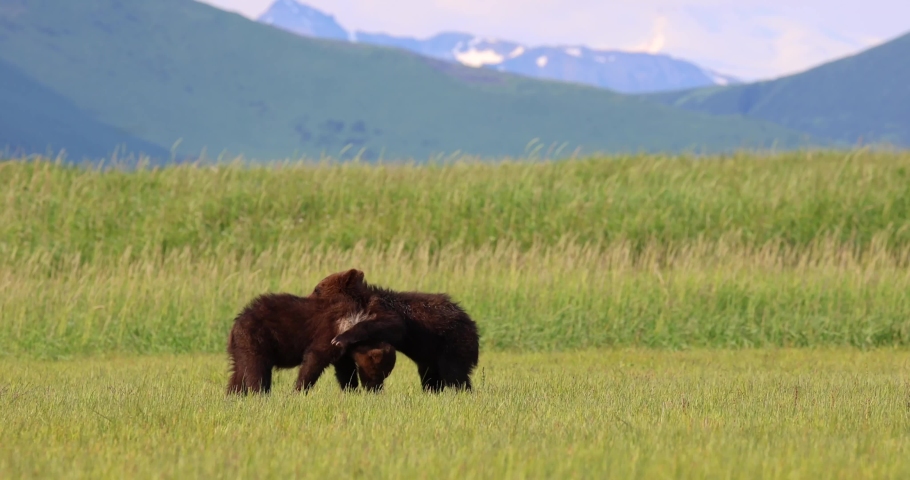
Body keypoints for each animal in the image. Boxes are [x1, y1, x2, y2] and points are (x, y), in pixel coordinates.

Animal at [226, 291, 396, 395]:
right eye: (377, 372)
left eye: (385, 374)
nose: (377, 390)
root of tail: (235, 324)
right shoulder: (328, 334)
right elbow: (314, 361)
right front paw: (298, 390)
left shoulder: (342, 350)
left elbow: (345, 370)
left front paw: (351, 390)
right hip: (257, 339)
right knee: (257, 369)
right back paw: (260, 394)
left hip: (241, 346)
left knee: (239, 371)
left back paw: (233, 395)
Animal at [309, 269, 480, 392]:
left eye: (317, 289)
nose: (307, 296)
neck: (360, 303)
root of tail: (473, 326)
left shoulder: (385, 310)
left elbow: (393, 325)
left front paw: (340, 338)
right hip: (431, 355)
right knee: (430, 375)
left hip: (453, 343)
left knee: (454, 373)